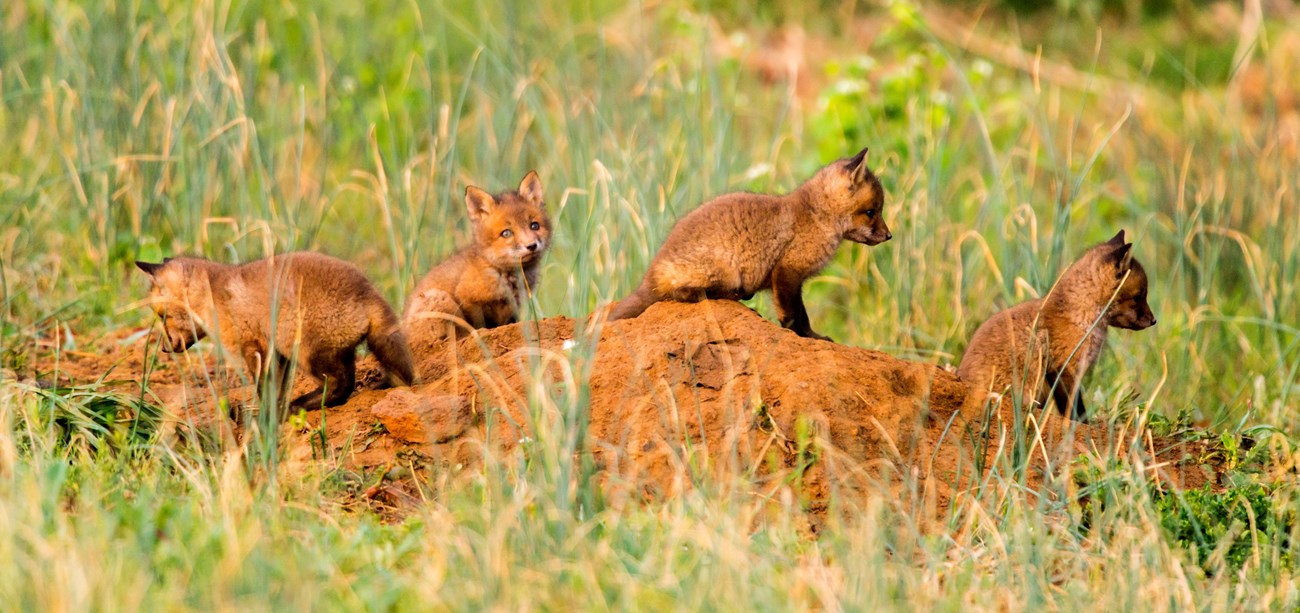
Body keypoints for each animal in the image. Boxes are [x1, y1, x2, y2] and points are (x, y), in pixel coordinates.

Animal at [135, 252, 417, 412]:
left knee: (342, 384)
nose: (164, 348)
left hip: (309, 352)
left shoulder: (256, 347)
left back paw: (298, 405)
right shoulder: (278, 354)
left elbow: (265, 388)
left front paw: (268, 416)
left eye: (162, 316)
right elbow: (278, 387)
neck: (215, 296)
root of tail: (367, 292)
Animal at [403, 171, 551, 357]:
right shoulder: (469, 300)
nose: (531, 246)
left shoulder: (514, 308)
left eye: (534, 225)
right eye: (506, 233)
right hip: (439, 300)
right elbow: (478, 326)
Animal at [607, 146, 891, 341]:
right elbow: (795, 316)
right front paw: (809, 337)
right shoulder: (787, 272)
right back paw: (730, 294)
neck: (816, 217)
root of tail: (652, 272)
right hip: (724, 271)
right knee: (685, 294)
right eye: (871, 212)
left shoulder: (790, 277)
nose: (889, 236)